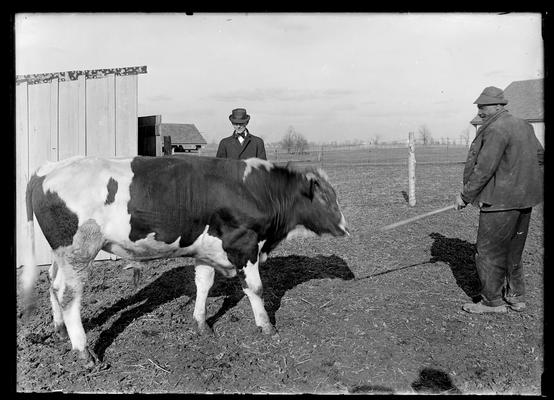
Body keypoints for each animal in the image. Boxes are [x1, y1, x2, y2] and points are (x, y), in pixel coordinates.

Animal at [22, 155, 350, 368]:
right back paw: (83, 351)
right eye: (325, 198)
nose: (345, 228)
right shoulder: (244, 245)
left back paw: (59, 329)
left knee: (53, 284)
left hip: (62, 254)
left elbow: (203, 284)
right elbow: (256, 288)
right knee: (68, 293)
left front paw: (201, 323)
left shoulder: (206, 249)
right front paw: (266, 326)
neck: (254, 190)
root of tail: (46, 169)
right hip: (79, 250)